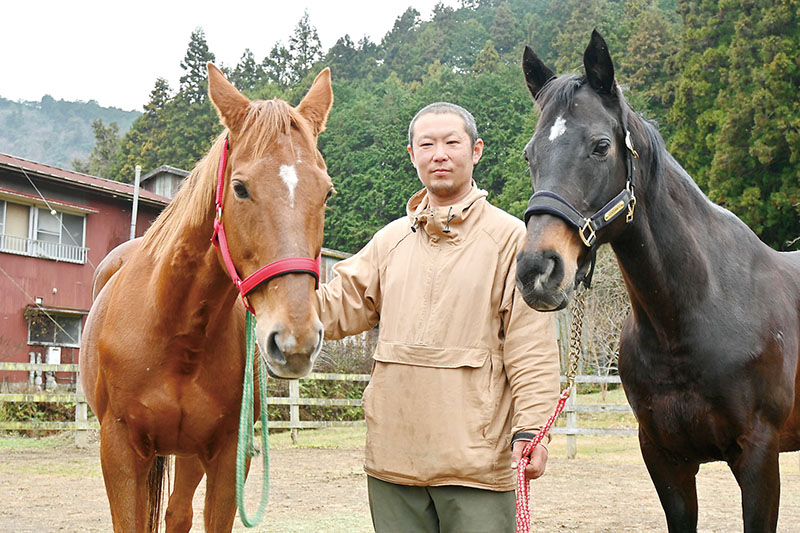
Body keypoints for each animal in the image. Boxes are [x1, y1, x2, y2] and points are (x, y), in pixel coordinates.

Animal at [79, 63, 334, 532]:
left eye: (326, 191)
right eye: (240, 188)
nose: (296, 341)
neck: (176, 329)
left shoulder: (229, 454)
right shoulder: (119, 451)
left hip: (188, 454)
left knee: (177, 514)